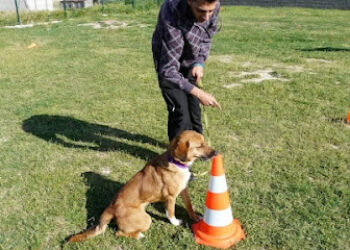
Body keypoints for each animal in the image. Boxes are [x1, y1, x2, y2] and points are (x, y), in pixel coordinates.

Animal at [67, 130, 216, 241]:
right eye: (199, 145)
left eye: (204, 142)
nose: (216, 153)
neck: (176, 162)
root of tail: (112, 207)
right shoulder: (171, 197)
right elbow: (171, 213)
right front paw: (175, 223)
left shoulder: (184, 190)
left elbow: (189, 206)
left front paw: (195, 218)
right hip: (146, 219)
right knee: (118, 233)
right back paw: (139, 236)